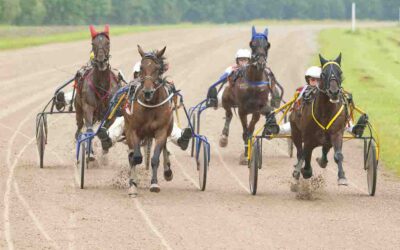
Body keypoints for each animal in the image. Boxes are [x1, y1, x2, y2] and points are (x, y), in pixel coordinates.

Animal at [74, 25, 119, 154]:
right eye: (93, 43)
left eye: (108, 43)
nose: (101, 61)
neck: (102, 86)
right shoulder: (88, 107)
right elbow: (89, 130)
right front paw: (89, 152)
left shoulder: (113, 110)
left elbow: (102, 130)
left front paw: (105, 143)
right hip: (79, 109)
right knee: (80, 126)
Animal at [124, 44, 173, 195]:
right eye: (141, 67)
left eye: (158, 68)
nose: (147, 92)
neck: (150, 106)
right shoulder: (133, 131)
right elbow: (136, 157)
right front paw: (133, 184)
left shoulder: (161, 131)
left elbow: (155, 158)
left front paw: (154, 183)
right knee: (132, 155)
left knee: (165, 148)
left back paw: (167, 171)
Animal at [219, 26, 276, 165]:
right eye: (252, 44)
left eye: (267, 45)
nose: (260, 63)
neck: (254, 83)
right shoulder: (242, 110)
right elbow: (245, 132)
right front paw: (245, 156)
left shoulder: (257, 110)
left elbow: (250, 131)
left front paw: (247, 153)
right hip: (226, 99)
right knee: (228, 114)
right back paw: (224, 137)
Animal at [290, 53, 348, 186]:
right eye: (323, 74)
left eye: (340, 72)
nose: (334, 92)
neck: (326, 112)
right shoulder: (308, 136)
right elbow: (305, 154)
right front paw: (302, 171)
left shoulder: (336, 133)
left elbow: (338, 155)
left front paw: (342, 176)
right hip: (295, 131)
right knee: (301, 152)